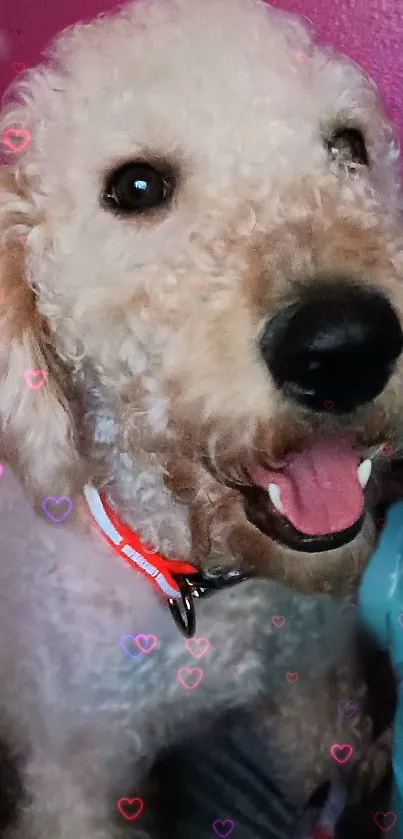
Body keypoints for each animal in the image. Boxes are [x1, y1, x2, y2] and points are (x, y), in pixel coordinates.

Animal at [0, 0, 403, 836]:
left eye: (347, 145)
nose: (344, 347)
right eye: (136, 185)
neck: (206, 588)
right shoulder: (75, 778)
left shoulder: (310, 678)